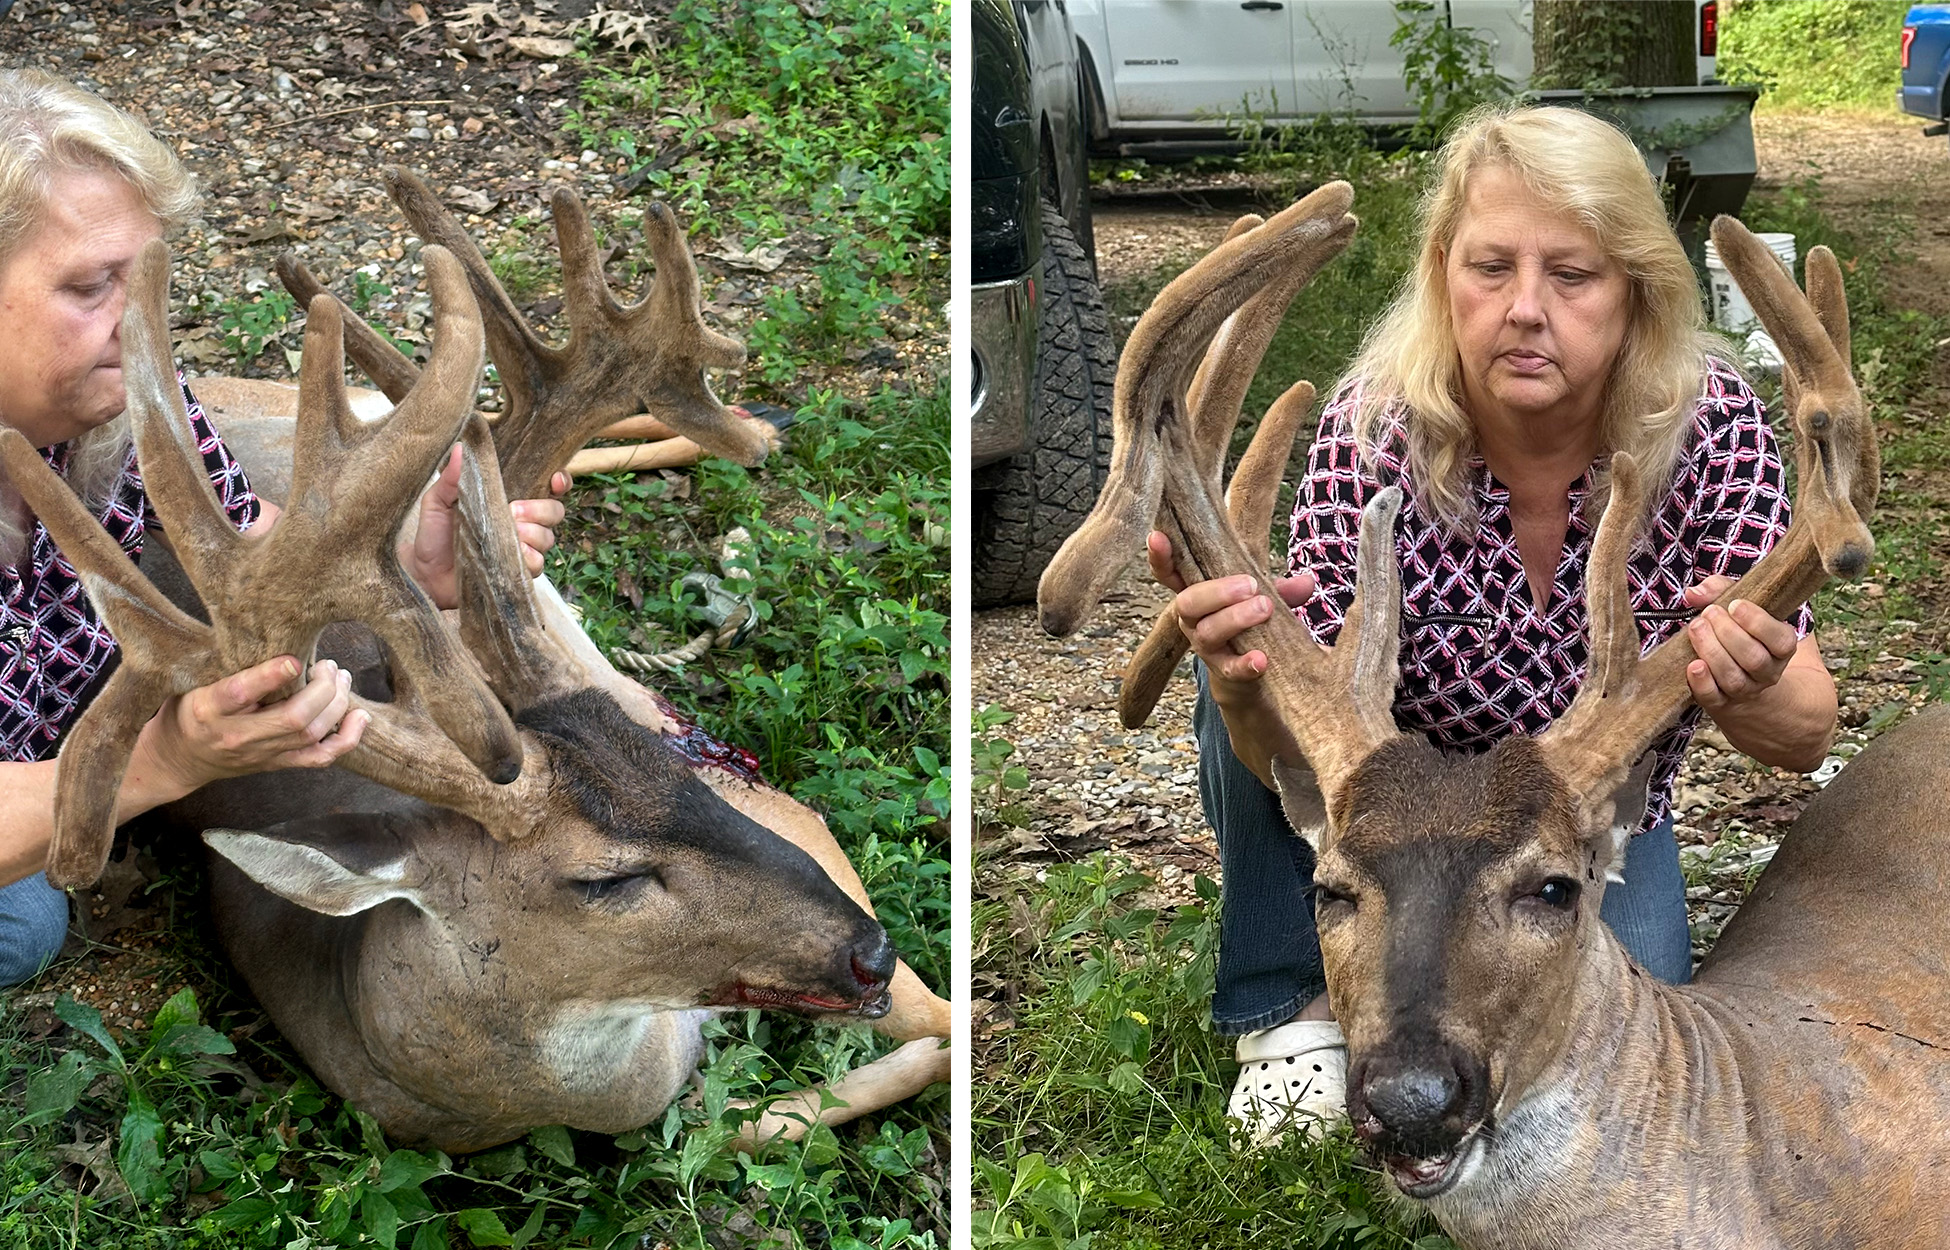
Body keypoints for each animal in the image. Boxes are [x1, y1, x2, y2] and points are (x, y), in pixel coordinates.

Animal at [0, 173, 943, 1154]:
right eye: (606, 880)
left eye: (687, 786)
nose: (871, 952)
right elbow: (747, 1124)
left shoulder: (752, 795)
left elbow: (940, 1032)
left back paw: (753, 429)